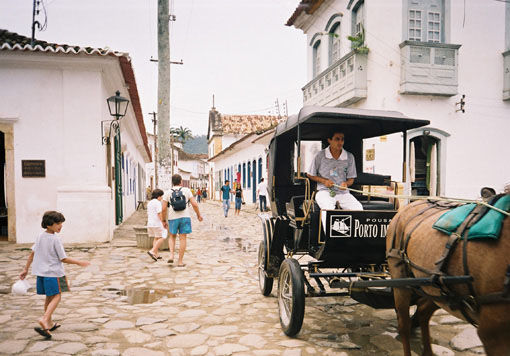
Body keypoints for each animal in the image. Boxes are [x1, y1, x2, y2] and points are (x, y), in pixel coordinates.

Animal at [386, 199, 510, 354]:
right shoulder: (494, 334)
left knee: (422, 310)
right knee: (404, 326)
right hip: (400, 280)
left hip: (437, 291)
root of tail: (411, 204)